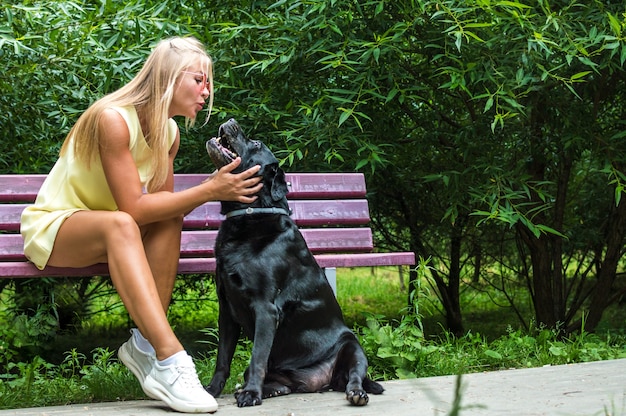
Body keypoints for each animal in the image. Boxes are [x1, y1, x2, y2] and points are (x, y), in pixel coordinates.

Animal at [202, 118, 382, 408]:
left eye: (256, 144)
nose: (230, 121)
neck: (251, 214)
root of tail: (321, 381)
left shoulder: (265, 308)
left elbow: (257, 356)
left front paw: (251, 394)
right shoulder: (226, 310)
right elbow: (223, 359)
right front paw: (212, 391)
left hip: (352, 346)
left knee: (355, 375)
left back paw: (356, 393)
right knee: (282, 384)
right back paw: (266, 389)